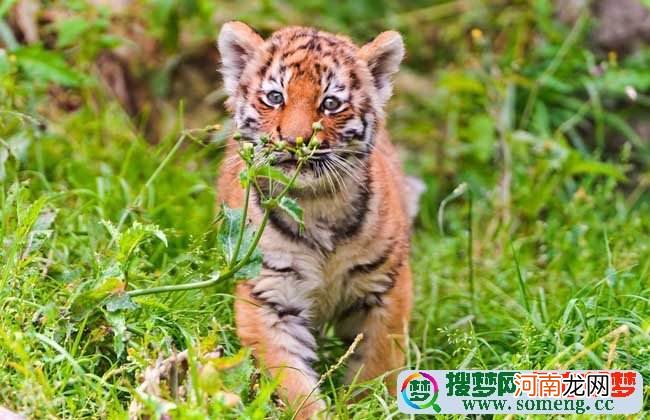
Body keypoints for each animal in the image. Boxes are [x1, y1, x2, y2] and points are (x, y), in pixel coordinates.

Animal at [216, 22, 422, 418]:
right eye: (275, 97)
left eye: (330, 103)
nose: (295, 141)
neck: (316, 204)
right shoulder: (268, 296)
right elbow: (290, 379)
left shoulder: (385, 288)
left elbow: (377, 366)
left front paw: (367, 406)